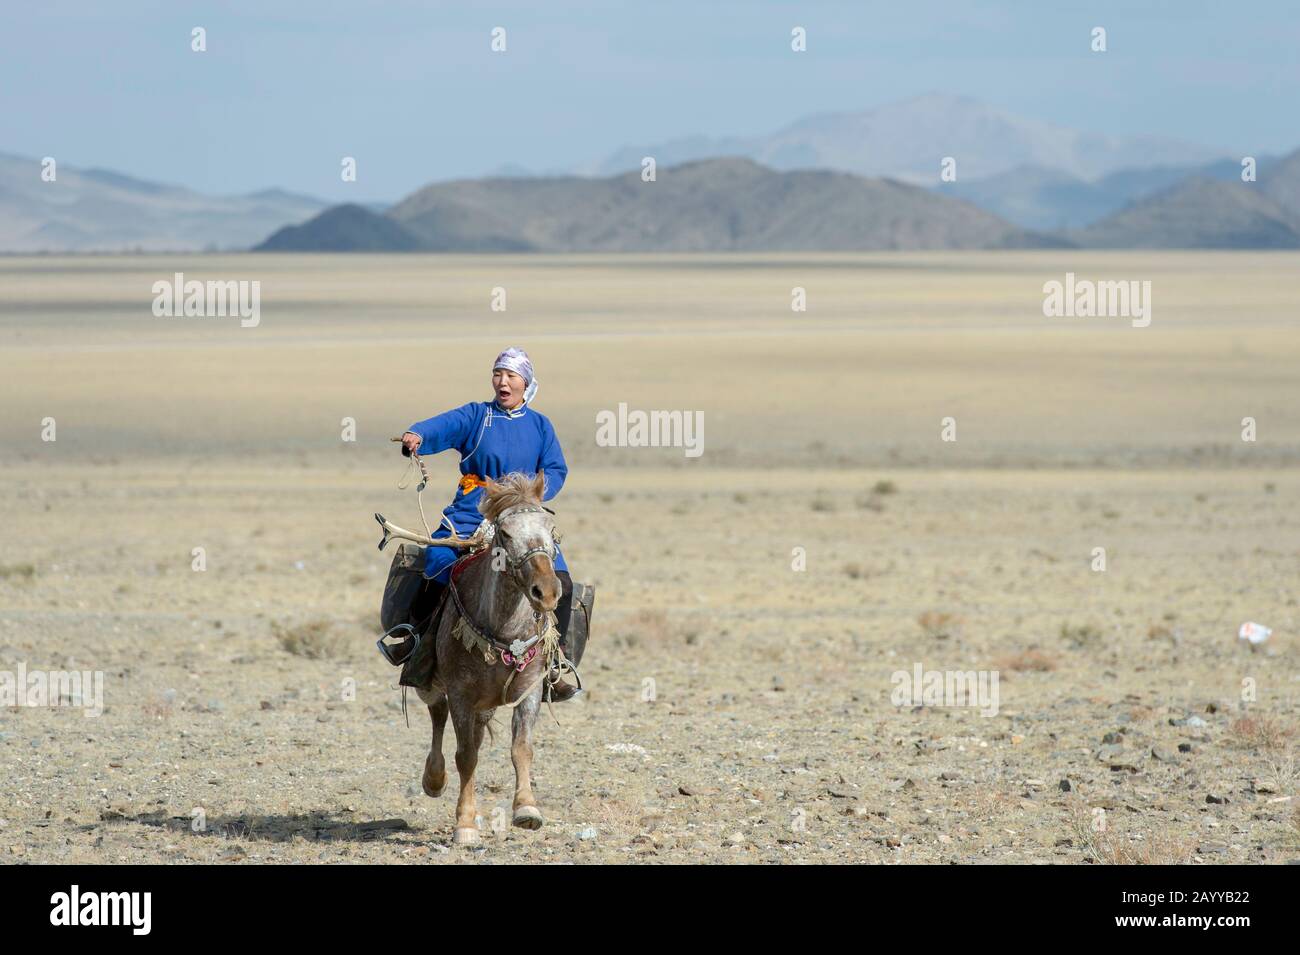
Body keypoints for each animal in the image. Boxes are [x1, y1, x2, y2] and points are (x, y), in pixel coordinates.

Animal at [378, 472, 564, 846]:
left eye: (551, 529)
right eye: (506, 533)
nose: (547, 592)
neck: (505, 629)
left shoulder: (530, 689)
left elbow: (522, 747)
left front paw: (527, 809)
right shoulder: (460, 692)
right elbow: (465, 757)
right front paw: (464, 824)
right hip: (434, 684)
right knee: (438, 718)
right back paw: (434, 779)